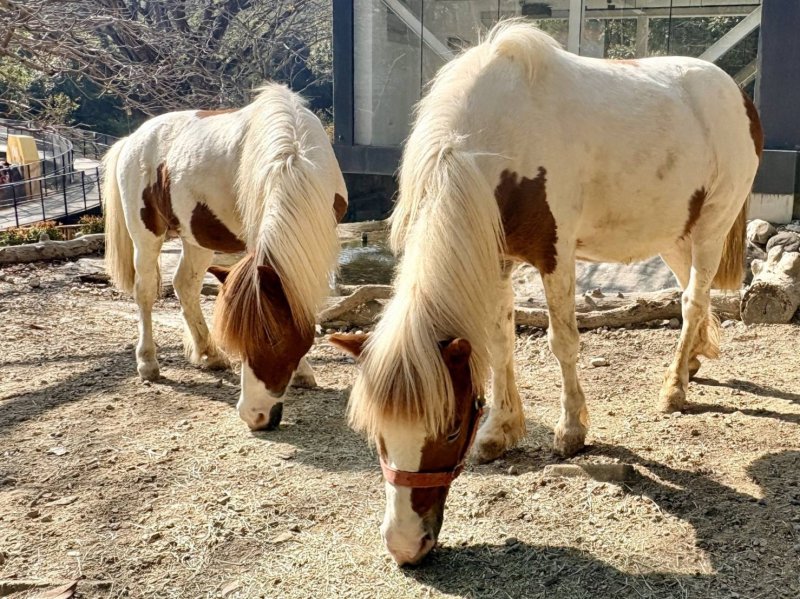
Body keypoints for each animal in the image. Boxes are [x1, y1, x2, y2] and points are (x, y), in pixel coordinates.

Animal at [102, 83, 347, 431]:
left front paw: (302, 372)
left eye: (272, 340)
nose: (254, 416)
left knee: (186, 286)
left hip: (196, 237)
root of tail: (132, 139)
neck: (293, 159)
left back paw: (209, 354)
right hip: (146, 235)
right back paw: (148, 363)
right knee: (146, 292)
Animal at [330, 21, 762, 565]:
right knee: (693, 295)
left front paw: (571, 430)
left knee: (691, 300)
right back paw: (694, 361)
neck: (491, 140)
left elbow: (563, 343)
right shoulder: (496, 257)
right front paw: (500, 430)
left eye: (451, 427)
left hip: (711, 228)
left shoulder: (554, 257)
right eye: (378, 435)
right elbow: (499, 344)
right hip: (673, 236)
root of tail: (737, 94)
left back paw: (674, 389)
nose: (405, 546)